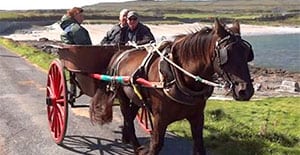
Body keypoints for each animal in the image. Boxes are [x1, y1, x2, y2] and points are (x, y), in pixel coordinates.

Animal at [91, 18, 253, 155]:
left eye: (247, 54)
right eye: (227, 54)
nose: (245, 91)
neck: (178, 76)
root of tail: (121, 53)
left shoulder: (197, 117)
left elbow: (199, 146)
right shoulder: (160, 119)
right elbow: (156, 145)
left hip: (136, 97)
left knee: (129, 117)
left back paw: (128, 139)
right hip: (122, 96)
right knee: (128, 119)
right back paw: (136, 146)